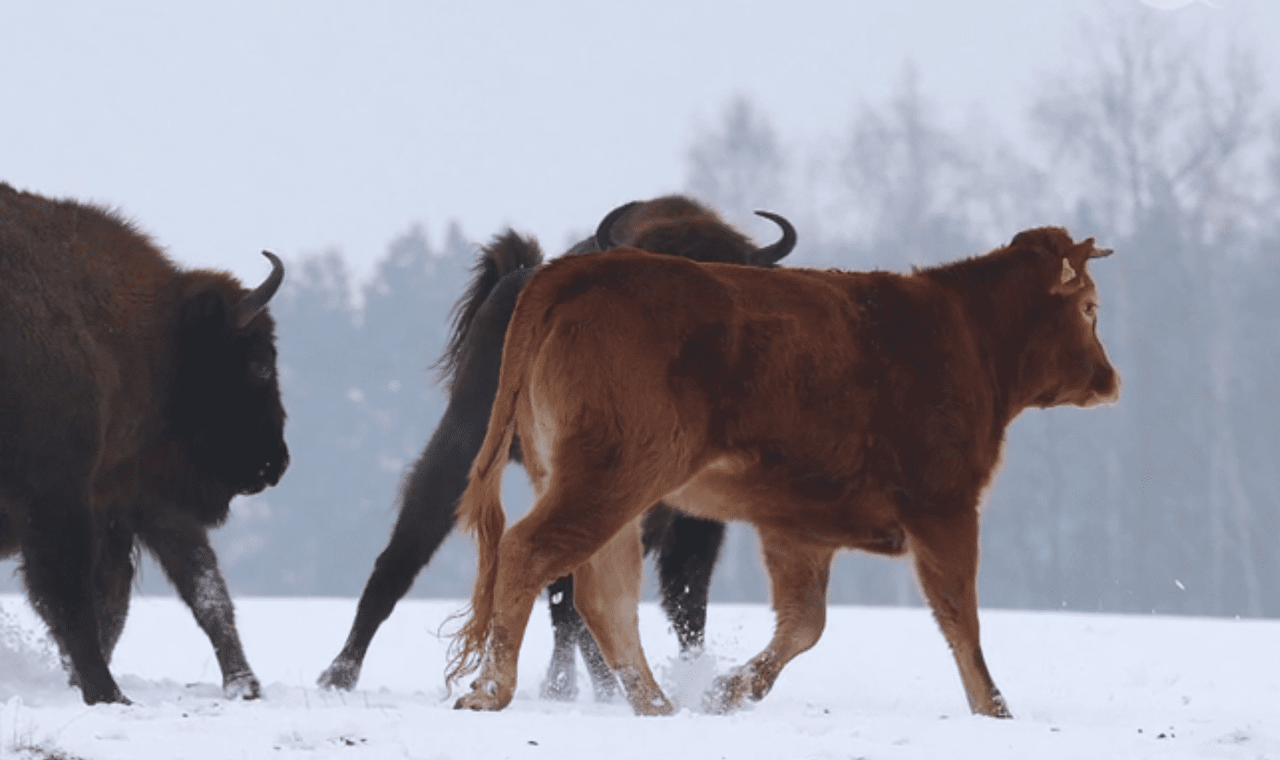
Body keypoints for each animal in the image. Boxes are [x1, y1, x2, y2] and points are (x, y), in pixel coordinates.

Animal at [0, 183, 288, 704]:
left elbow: (193, 590)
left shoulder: (131, 500)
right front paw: (107, 694)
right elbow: (71, 596)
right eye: (259, 363)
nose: (274, 464)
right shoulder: (60, 496)